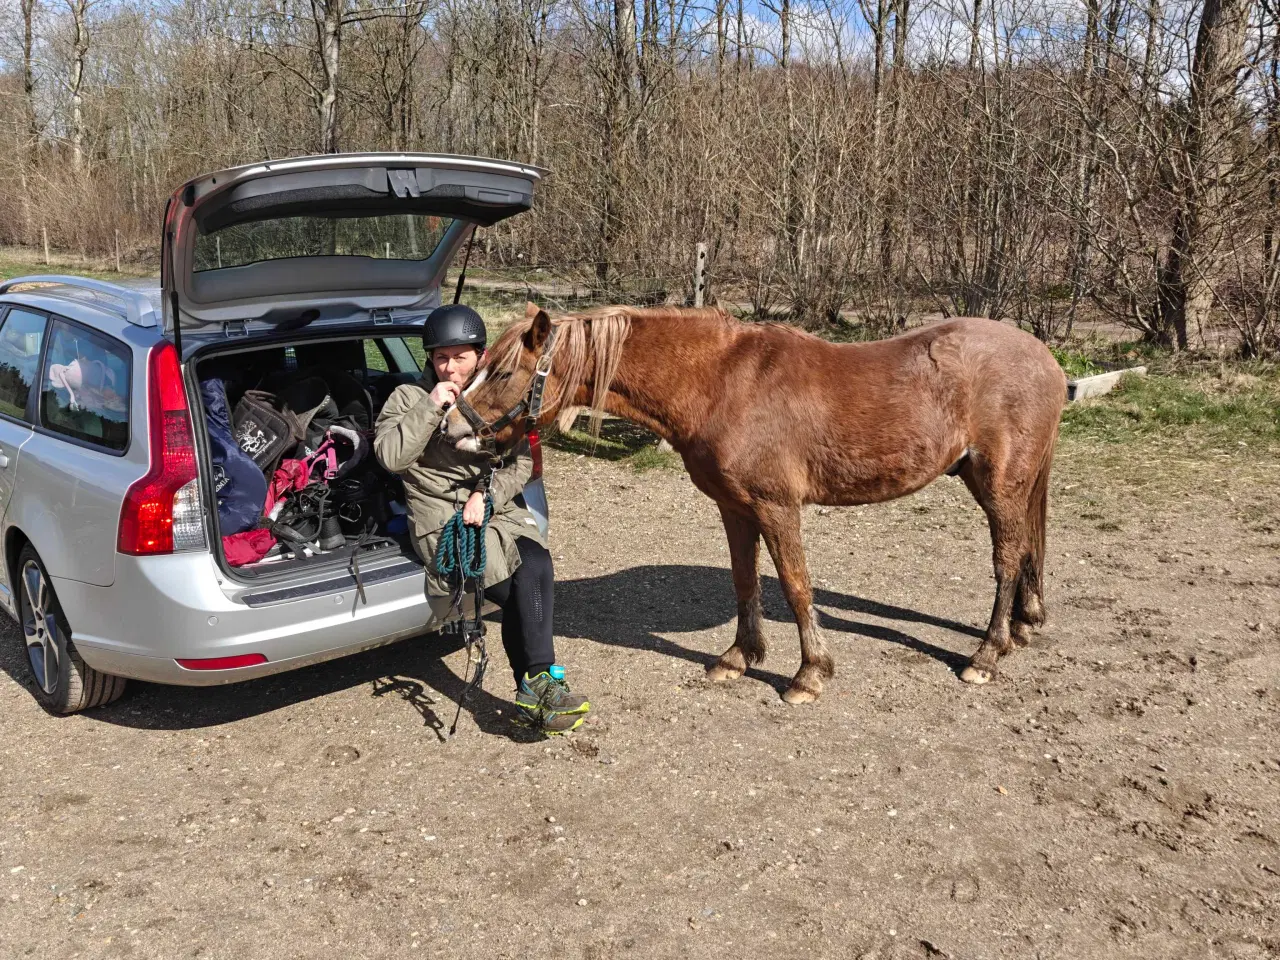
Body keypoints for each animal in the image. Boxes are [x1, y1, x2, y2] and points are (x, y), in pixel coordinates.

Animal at [442, 303, 1067, 704]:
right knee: (1025, 553)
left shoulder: (776, 506)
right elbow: (746, 580)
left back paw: (986, 654)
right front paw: (738, 658)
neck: (722, 382)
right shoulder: (736, 509)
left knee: (1006, 560)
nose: (451, 428)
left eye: (502, 370)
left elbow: (795, 585)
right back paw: (1022, 627)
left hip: (999, 485)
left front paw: (810, 674)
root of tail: (1046, 360)